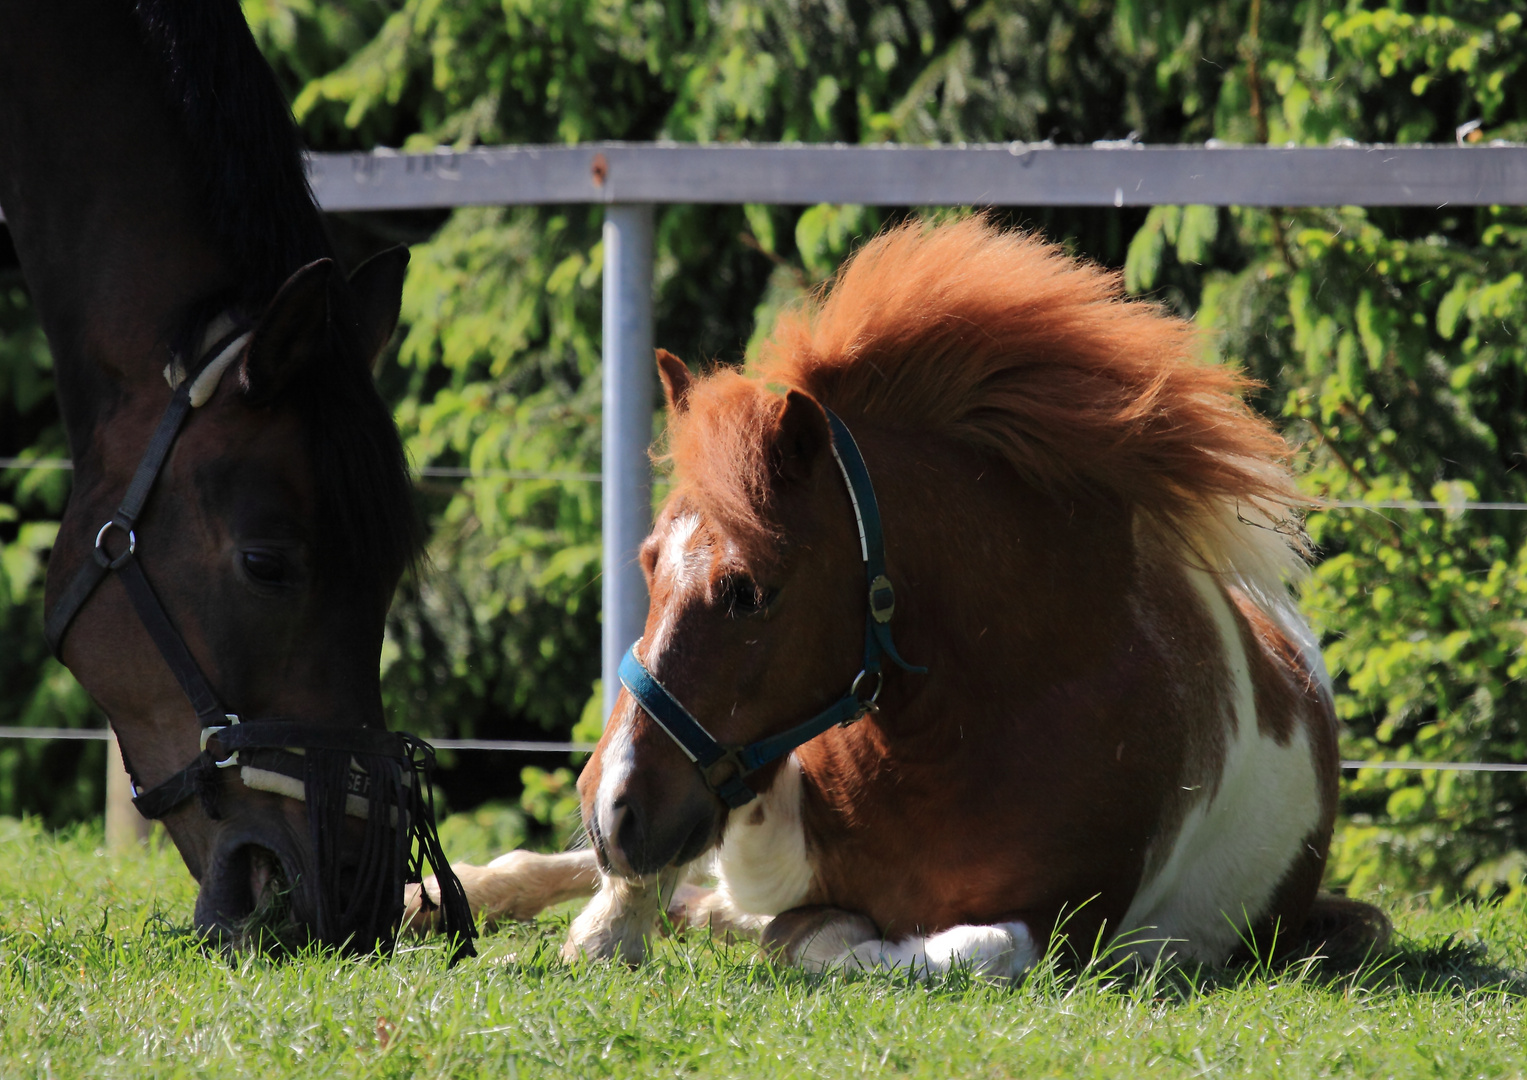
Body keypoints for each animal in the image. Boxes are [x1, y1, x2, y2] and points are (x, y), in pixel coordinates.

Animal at [409, 219, 1386, 977]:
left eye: (747, 591)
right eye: (648, 562)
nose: (611, 808)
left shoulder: (1055, 929)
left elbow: (871, 942)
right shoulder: (747, 795)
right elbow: (678, 887)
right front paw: (599, 925)